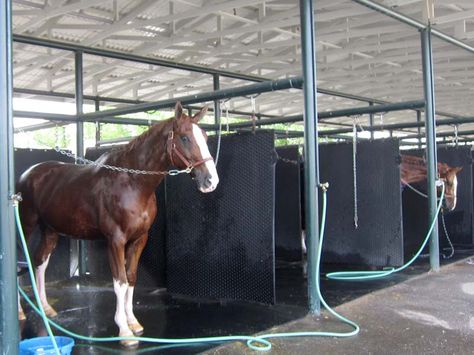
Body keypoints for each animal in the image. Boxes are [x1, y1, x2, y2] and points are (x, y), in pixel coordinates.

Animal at [16, 101, 219, 346]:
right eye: (185, 137)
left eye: (205, 137)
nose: (211, 181)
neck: (132, 183)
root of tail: (29, 173)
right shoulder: (115, 240)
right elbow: (119, 281)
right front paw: (124, 330)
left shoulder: (139, 239)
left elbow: (131, 277)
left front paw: (133, 322)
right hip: (25, 226)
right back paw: (19, 311)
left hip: (50, 230)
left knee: (40, 261)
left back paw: (45, 307)